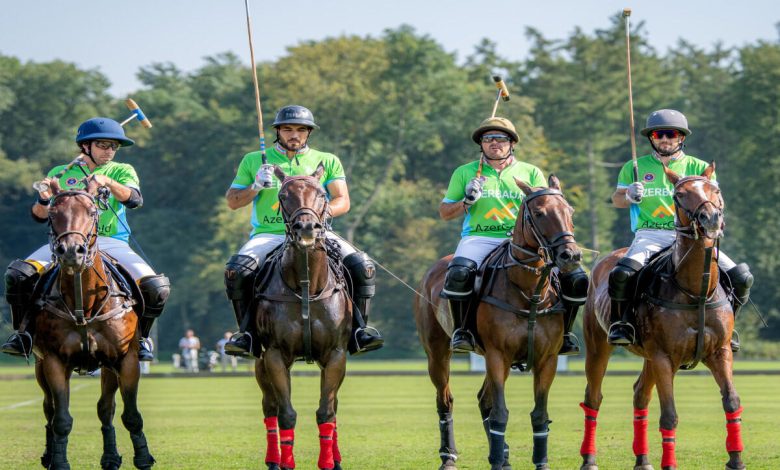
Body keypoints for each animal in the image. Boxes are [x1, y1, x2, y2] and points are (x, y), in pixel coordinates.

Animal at [32, 177, 155, 470]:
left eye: (91, 212)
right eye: (52, 214)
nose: (70, 252)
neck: (84, 305)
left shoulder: (126, 359)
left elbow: (130, 415)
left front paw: (143, 458)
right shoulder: (53, 360)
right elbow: (61, 419)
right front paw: (59, 462)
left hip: (108, 365)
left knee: (105, 408)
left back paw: (110, 457)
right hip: (40, 364)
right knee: (49, 408)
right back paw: (49, 454)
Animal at [251, 164, 352, 470]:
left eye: (321, 194)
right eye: (283, 196)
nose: (307, 228)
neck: (307, 285)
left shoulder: (336, 354)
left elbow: (326, 411)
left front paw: (329, 462)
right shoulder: (274, 354)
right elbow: (286, 413)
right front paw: (286, 463)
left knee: (334, 406)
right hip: (259, 360)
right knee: (269, 406)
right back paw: (273, 460)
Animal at [418, 175, 580, 470]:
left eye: (570, 211)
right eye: (539, 213)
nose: (571, 256)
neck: (529, 291)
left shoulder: (547, 359)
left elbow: (539, 414)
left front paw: (539, 462)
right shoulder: (497, 354)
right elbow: (501, 414)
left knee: (484, 400)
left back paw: (501, 455)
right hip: (437, 352)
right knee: (445, 400)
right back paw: (449, 456)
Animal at [580, 162, 744, 470]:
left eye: (715, 189)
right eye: (679, 195)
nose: (711, 218)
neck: (696, 291)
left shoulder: (720, 352)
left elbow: (732, 401)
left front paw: (736, 460)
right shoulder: (664, 356)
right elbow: (669, 415)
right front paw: (670, 463)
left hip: (648, 356)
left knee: (639, 394)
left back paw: (642, 460)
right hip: (599, 347)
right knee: (593, 397)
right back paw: (589, 459)